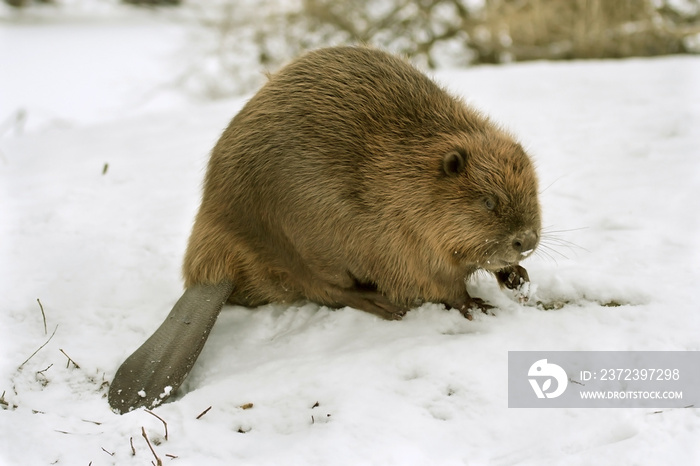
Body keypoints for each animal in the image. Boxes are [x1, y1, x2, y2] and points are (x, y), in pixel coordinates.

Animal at [108, 45, 540, 414]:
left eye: (533, 189)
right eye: (488, 202)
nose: (527, 240)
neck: (409, 174)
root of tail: (209, 275)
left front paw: (517, 276)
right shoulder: (398, 236)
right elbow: (438, 283)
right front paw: (478, 305)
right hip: (306, 244)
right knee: (327, 289)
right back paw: (383, 304)